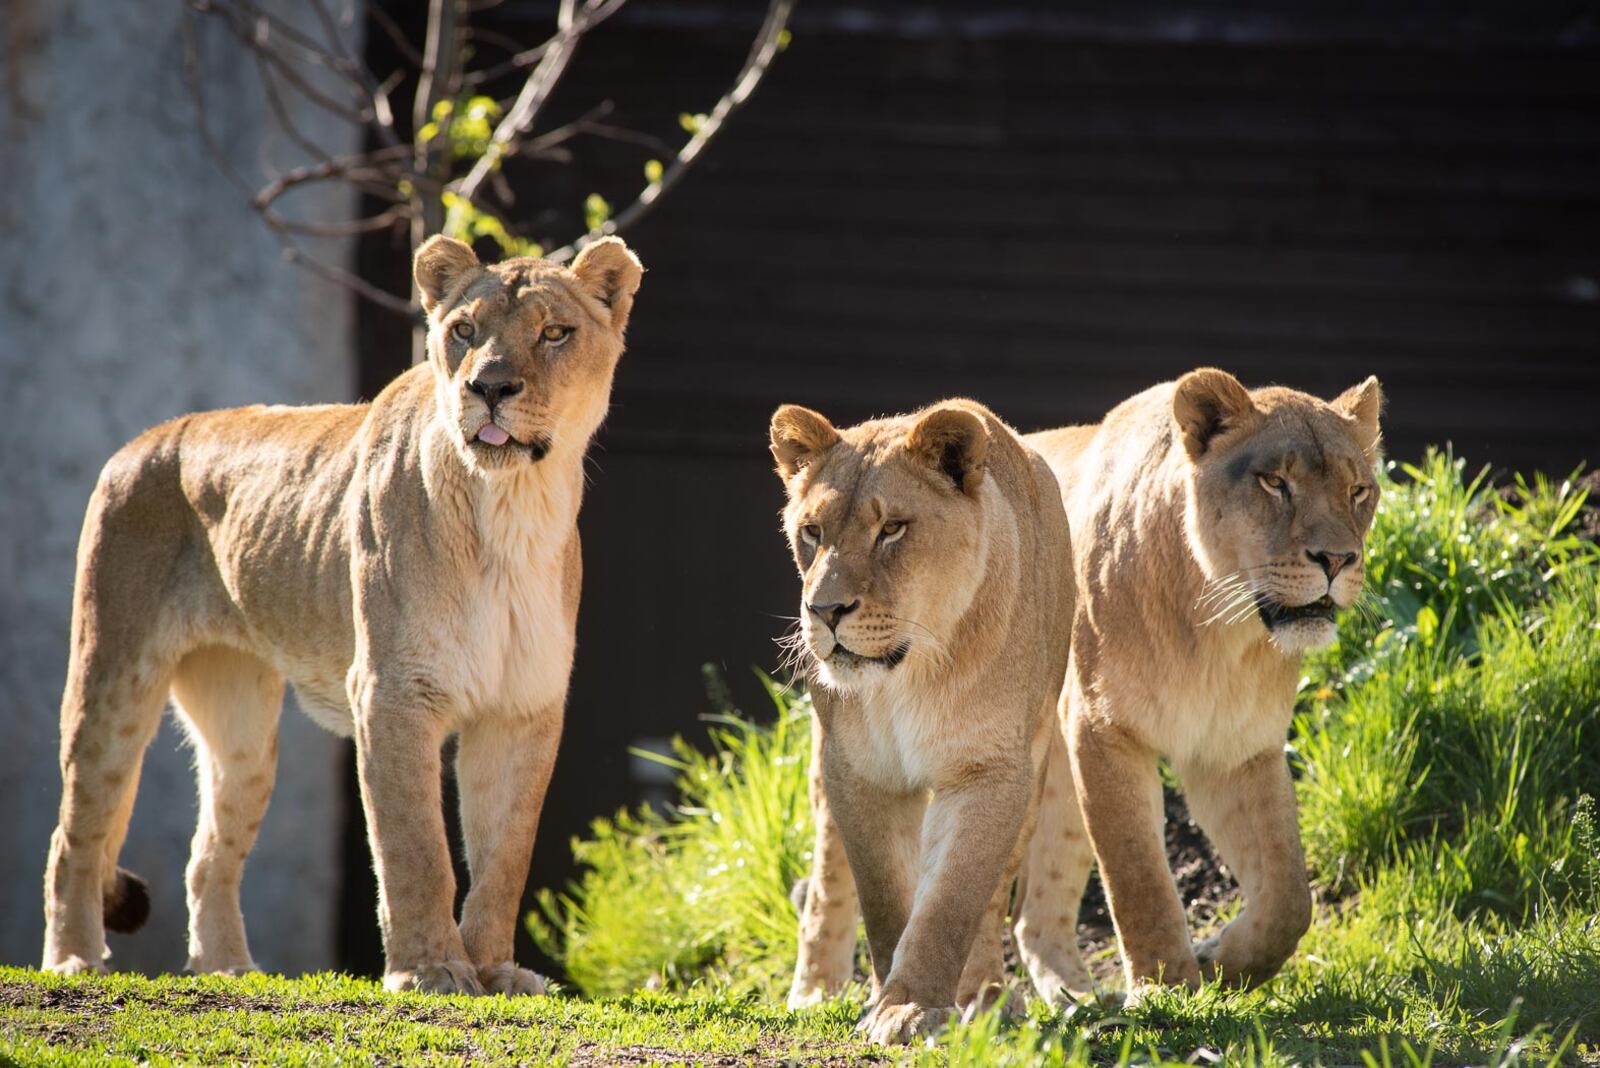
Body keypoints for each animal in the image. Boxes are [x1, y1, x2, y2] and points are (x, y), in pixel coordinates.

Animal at [39, 238, 636, 997]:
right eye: (464, 331)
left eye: (555, 333)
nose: (489, 388)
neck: (512, 510)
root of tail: (141, 440)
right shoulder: (392, 693)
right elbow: (416, 846)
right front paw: (431, 969)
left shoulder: (523, 706)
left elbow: (506, 855)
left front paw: (497, 970)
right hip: (112, 677)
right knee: (75, 834)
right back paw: (73, 960)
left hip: (240, 722)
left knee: (208, 852)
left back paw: (230, 971)